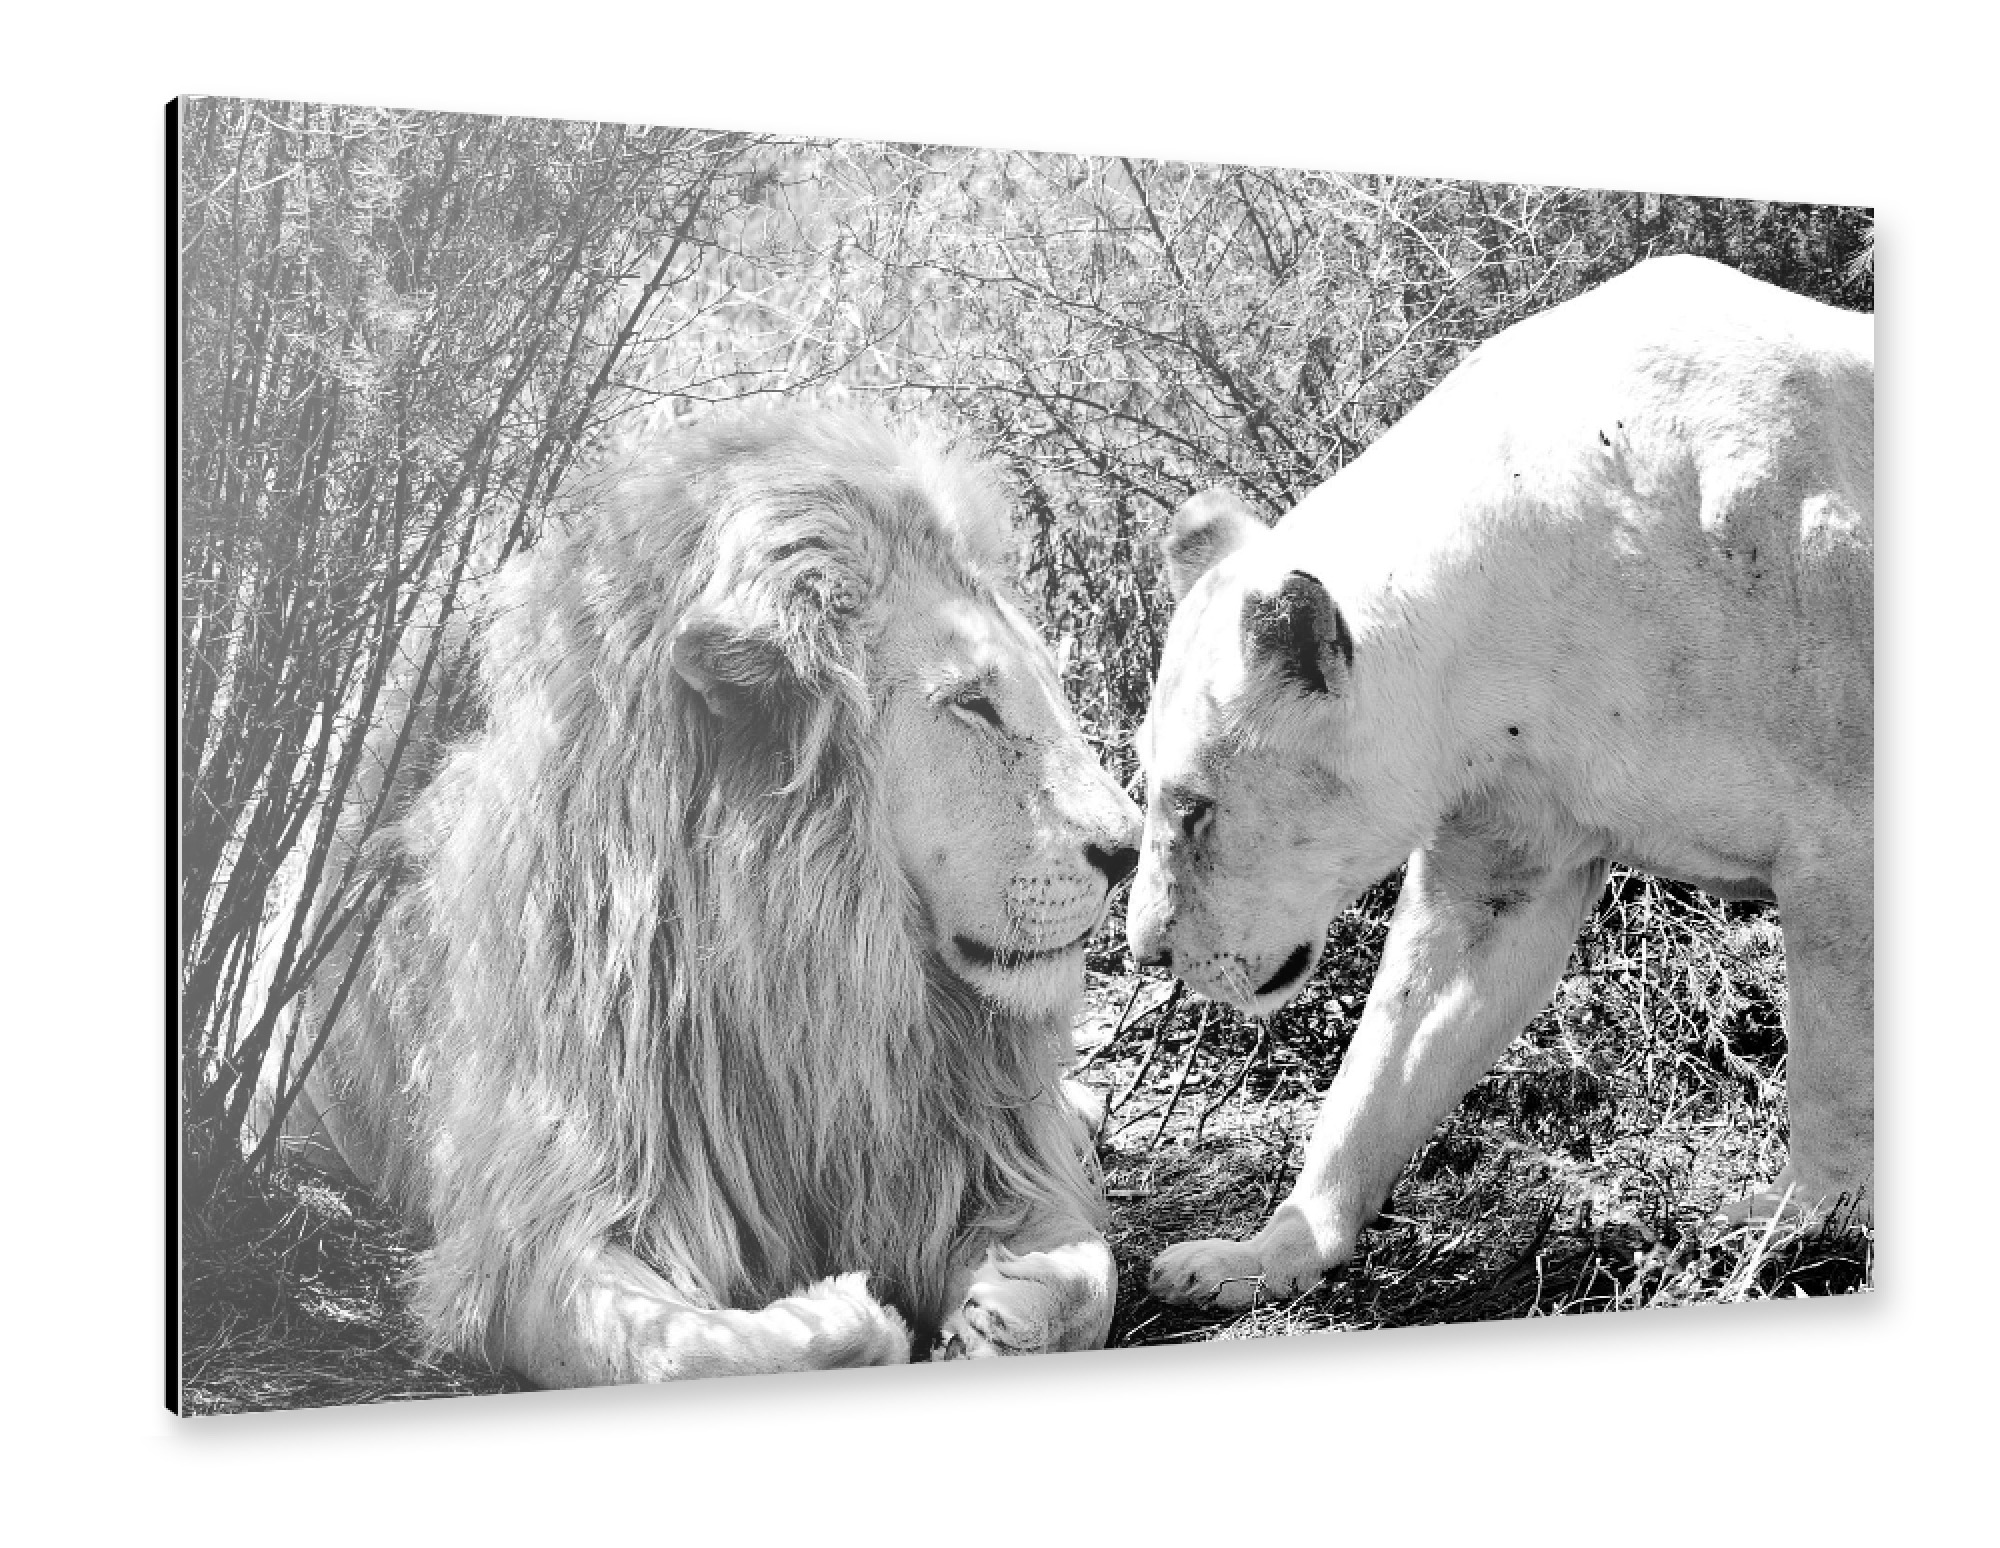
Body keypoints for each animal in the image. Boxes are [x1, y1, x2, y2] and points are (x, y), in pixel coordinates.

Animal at [270, 411, 1142, 1383]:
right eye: (972, 705)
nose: (1131, 850)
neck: (823, 982)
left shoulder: (986, 1153)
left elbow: (1089, 1277)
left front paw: (996, 1319)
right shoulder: (549, 1219)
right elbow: (690, 1354)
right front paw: (854, 1315)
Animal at [1125, 256, 1872, 1310]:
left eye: (1195, 808)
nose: (1146, 953)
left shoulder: (1842, 847)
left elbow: (1833, 1066)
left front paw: (1806, 1220)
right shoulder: (1502, 865)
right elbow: (1378, 1075)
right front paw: (1272, 1253)